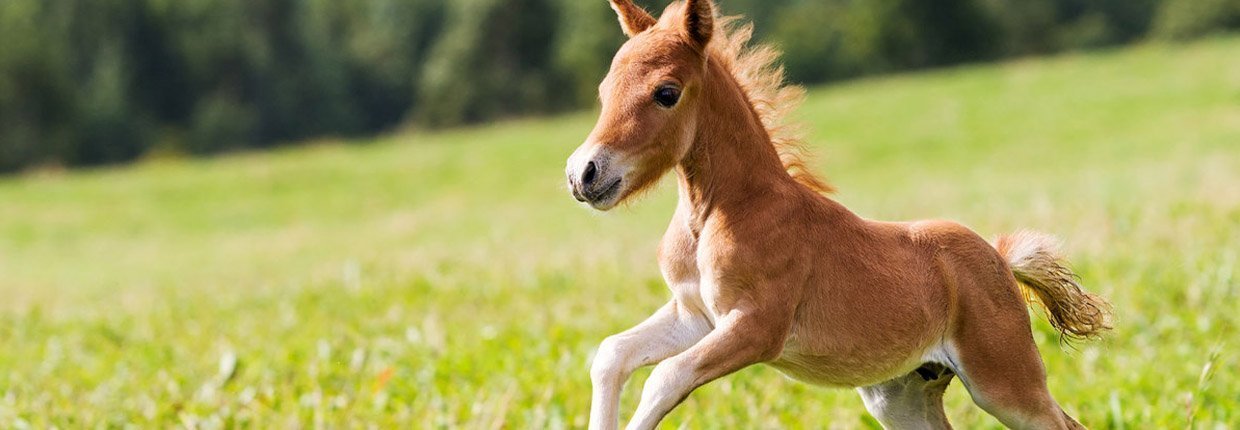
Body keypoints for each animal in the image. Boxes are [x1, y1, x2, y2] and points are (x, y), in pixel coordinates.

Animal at [567, 1, 1111, 428]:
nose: (584, 174)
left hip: (1004, 382)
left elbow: (664, 377)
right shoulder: (696, 315)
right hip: (900, 396)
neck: (721, 210)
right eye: (604, 91)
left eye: (666, 92)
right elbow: (612, 354)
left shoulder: (756, 328)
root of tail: (999, 258)